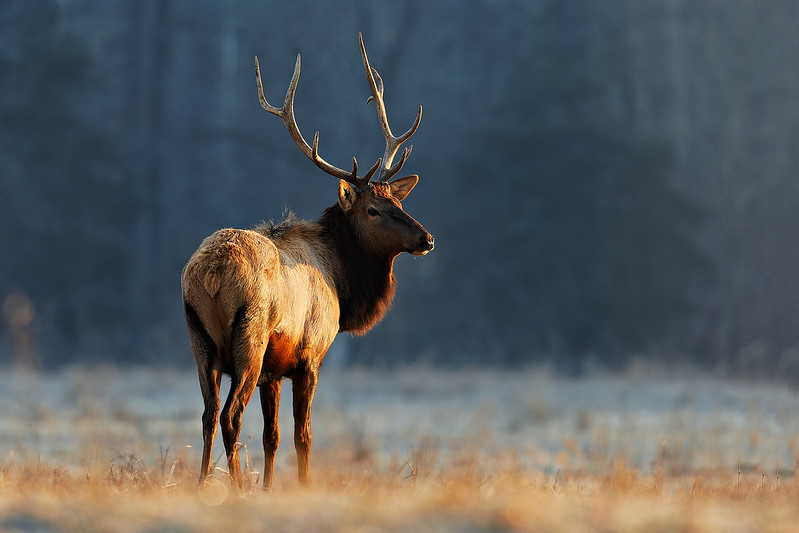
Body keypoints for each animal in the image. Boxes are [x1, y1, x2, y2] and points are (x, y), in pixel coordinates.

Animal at [181, 33, 433, 490]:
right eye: (373, 209)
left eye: (398, 202)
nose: (427, 238)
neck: (343, 283)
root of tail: (210, 274)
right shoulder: (308, 356)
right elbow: (303, 435)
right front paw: (301, 486)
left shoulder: (273, 371)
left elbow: (272, 436)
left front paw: (269, 489)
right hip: (250, 339)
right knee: (229, 416)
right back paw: (236, 485)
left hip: (199, 340)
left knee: (208, 415)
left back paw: (204, 482)